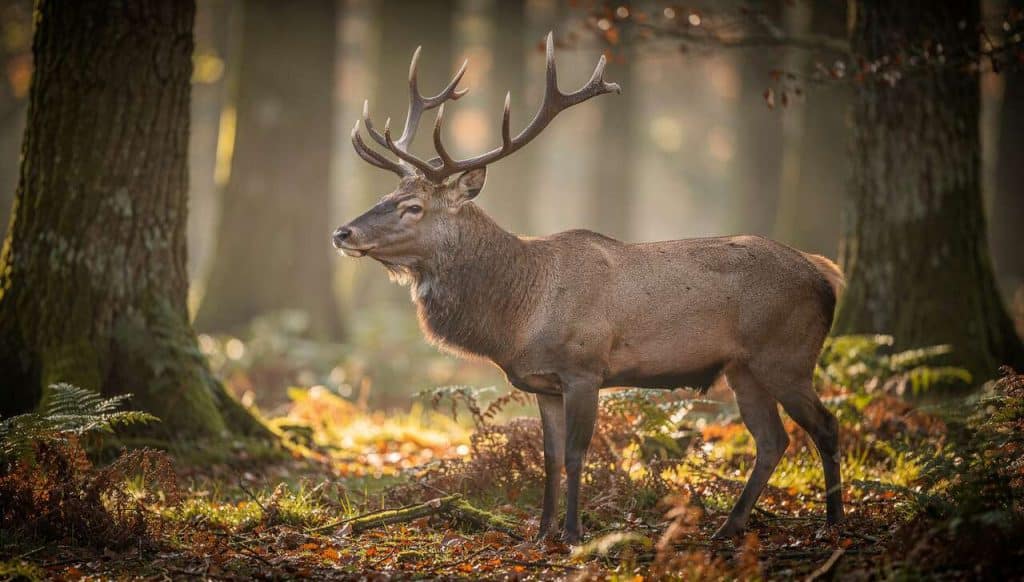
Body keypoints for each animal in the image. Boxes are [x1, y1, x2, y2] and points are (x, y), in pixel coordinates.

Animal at [333, 33, 845, 544]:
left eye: (413, 207)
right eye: (385, 197)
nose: (342, 232)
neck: (520, 318)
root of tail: (826, 273)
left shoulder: (585, 368)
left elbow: (578, 454)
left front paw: (574, 534)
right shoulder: (543, 384)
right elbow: (550, 457)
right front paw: (541, 533)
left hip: (786, 355)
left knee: (825, 425)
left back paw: (834, 522)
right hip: (744, 368)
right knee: (773, 439)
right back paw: (729, 526)